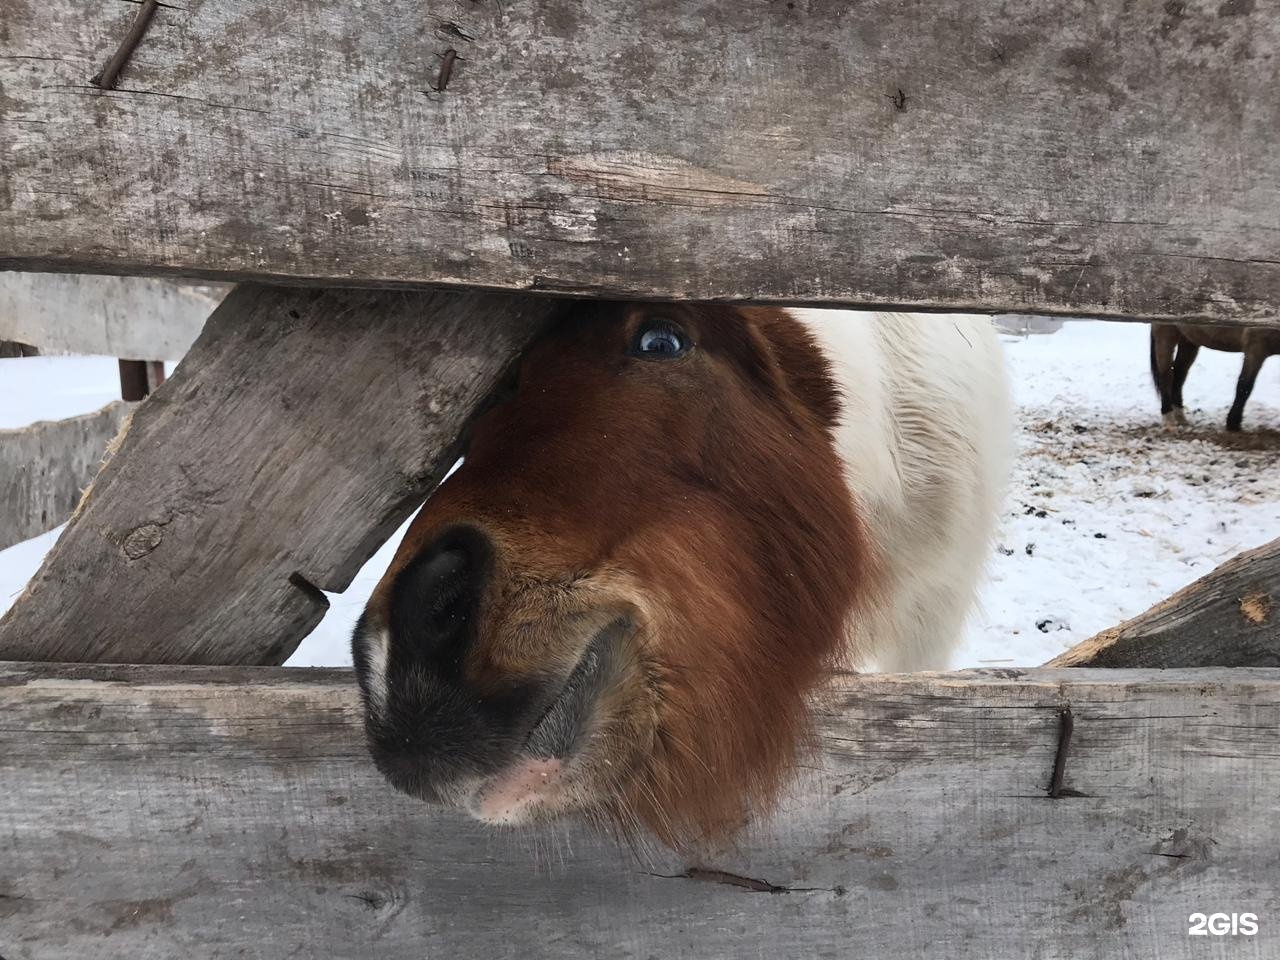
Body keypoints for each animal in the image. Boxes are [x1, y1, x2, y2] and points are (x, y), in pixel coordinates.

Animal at [1152, 323, 1280, 432]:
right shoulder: (1256, 346)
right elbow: (1244, 387)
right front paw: (1233, 423)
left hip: (1188, 340)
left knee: (1179, 374)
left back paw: (1180, 417)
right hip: (1166, 333)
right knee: (1165, 376)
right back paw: (1169, 420)